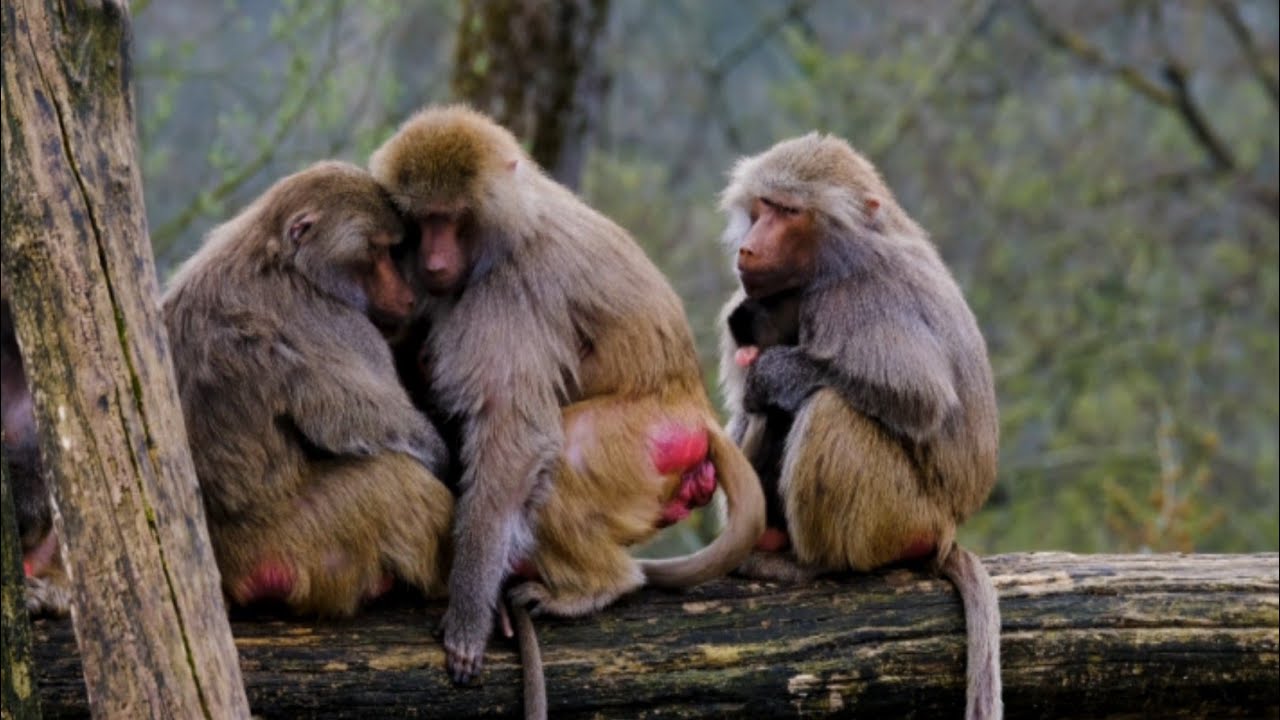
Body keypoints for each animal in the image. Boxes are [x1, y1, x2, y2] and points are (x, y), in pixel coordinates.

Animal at [160, 160, 454, 617]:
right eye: (376, 251)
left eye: (393, 251)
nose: (405, 297)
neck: (279, 256)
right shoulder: (335, 320)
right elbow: (361, 419)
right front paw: (441, 457)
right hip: (307, 537)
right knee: (397, 480)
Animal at [369, 105, 765, 684]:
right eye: (420, 222)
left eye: (453, 218)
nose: (435, 264)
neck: (507, 227)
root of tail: (695, 406)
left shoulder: (508, 293)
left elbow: (513, 432)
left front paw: (468, 615)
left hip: (645, 434)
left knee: (566, 454)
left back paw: (597, 588)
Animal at [717, 132, 1003, 720]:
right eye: (763, 207)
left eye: (788, 212)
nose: (748, 249)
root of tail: (947, 530)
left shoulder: (857, 297)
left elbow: (916, 394)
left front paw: (773, 372)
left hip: (901, 515)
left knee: (830, 408)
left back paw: (813, 567)